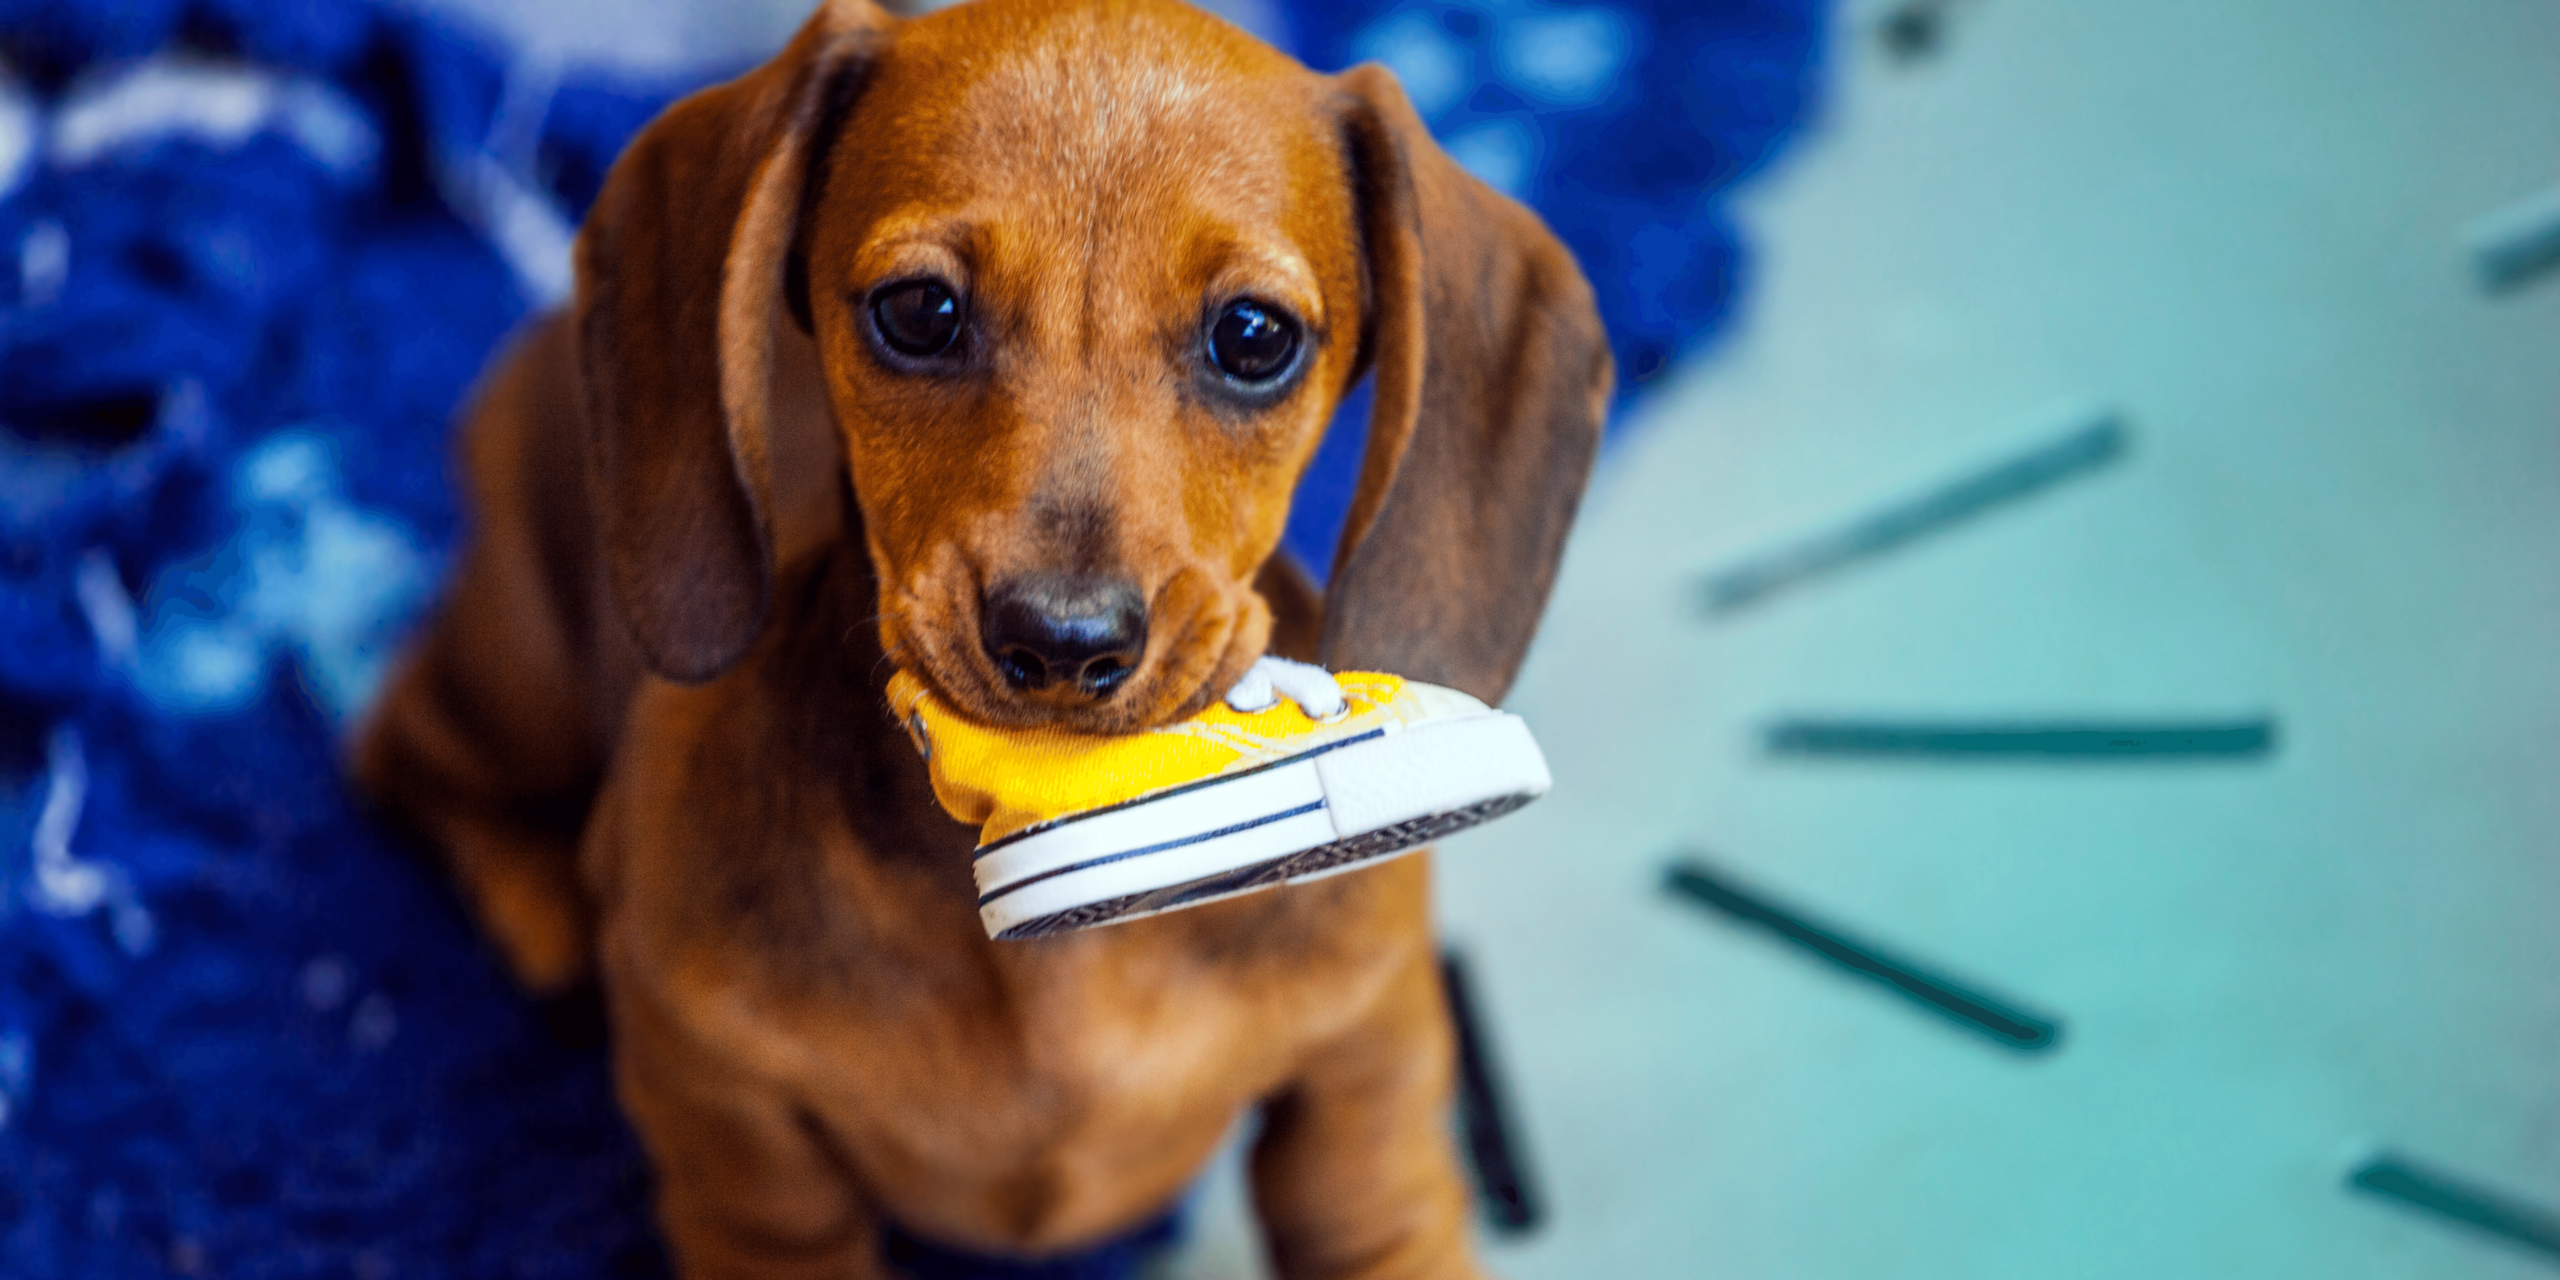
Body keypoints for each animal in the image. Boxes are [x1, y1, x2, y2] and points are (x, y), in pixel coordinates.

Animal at [350, 0, 1607, 1274]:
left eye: (1256, 335)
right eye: (920, 310)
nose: (1061, 642)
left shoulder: (1366, 1124)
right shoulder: (744, 1155)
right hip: (520, 668)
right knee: (397, 740)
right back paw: (545, 902)